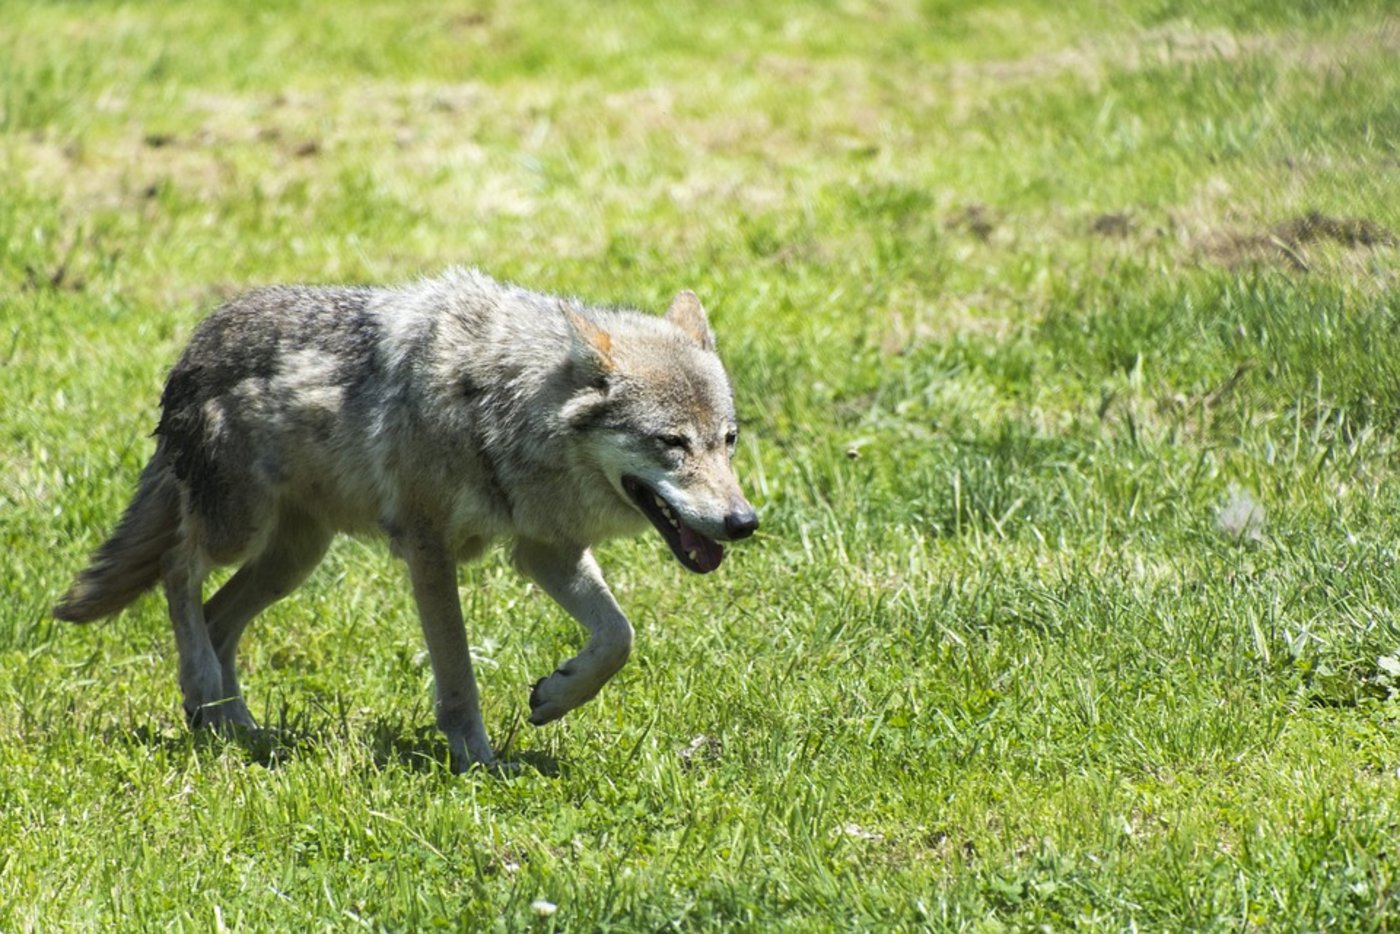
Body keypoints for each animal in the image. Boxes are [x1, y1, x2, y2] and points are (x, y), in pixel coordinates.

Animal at [53, 268, 758, 771]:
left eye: (727, 441)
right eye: (671, 443)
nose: (744, 522)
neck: (501, 404)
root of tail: (193, 347)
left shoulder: (545, 549)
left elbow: (618, 637)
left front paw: (556, 696)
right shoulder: (428, 549)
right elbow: (458, 674)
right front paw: (479, 764)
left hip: (293, 560)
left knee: (217, 613)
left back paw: (239, 729)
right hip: (238, 530)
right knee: (178, 569)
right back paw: (203, 693)